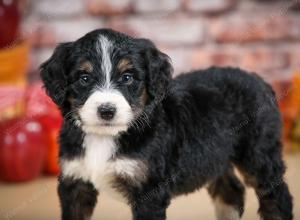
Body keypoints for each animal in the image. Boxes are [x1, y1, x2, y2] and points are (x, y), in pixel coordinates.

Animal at [39, 29, 292, 220]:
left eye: (127, 77)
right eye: (84, 78)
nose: (107, 111)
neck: (105, 137)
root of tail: (261, 81)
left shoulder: (149, 192)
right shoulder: (75, 182)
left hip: (258, 155)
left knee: (277, 196)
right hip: (215, 157)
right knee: (232, 191)